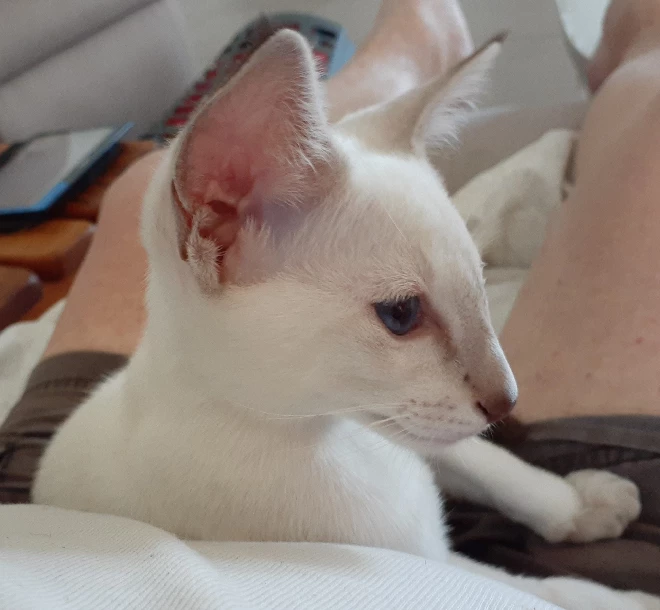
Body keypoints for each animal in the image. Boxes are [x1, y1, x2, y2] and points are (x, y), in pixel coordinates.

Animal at [34, 31, 658, 609]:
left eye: (479, 291)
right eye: (402, 315)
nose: (507, 401)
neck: (335, 435)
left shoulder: (407, 426)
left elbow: (493, 465)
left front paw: (579, 504)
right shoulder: (427, 551)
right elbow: (548, 589)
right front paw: (623, 595)